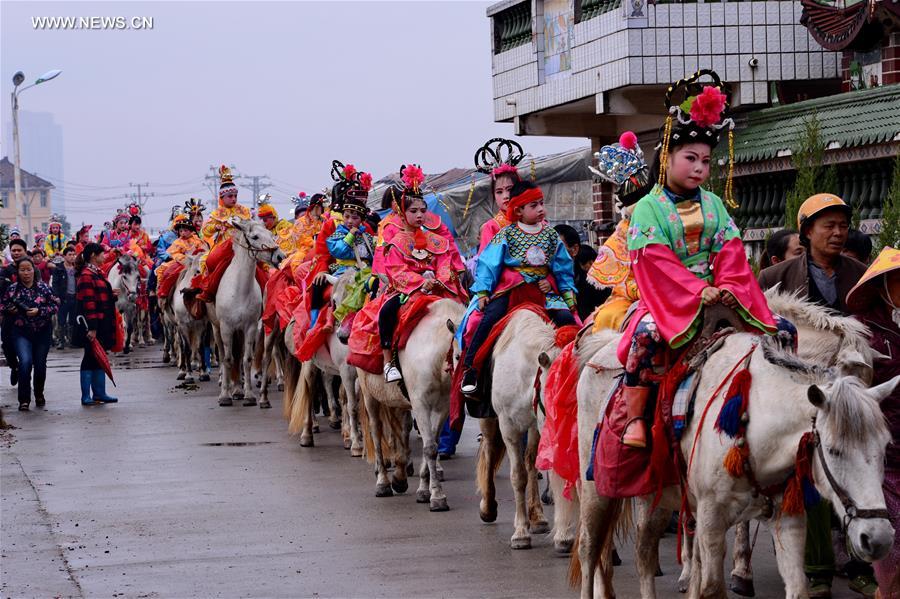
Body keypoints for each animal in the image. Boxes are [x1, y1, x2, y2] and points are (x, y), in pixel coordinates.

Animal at [207, 219, 284, 408]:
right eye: (255, 237)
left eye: (271, 234)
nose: (280, 256)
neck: (239, 289)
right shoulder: (227, 328)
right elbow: (227, 359)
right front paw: (225, 396)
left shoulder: (249, 327)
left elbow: (246, 359)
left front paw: (248, 395)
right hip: (216, 328)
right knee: (222, 355)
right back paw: (227, 387)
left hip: (241, 331)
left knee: (241, 355)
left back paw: (238, 389)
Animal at [356, 298, 464, 510]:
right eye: (457, 356)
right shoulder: (420, 404)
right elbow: (429, 448)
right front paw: (437, 497)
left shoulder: (442, 408)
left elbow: (432, 443)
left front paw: (424, 490)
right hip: (369, 395)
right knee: (376, 432)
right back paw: (383, 482)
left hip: (396, 402)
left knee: (400, 429)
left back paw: (400, 476)